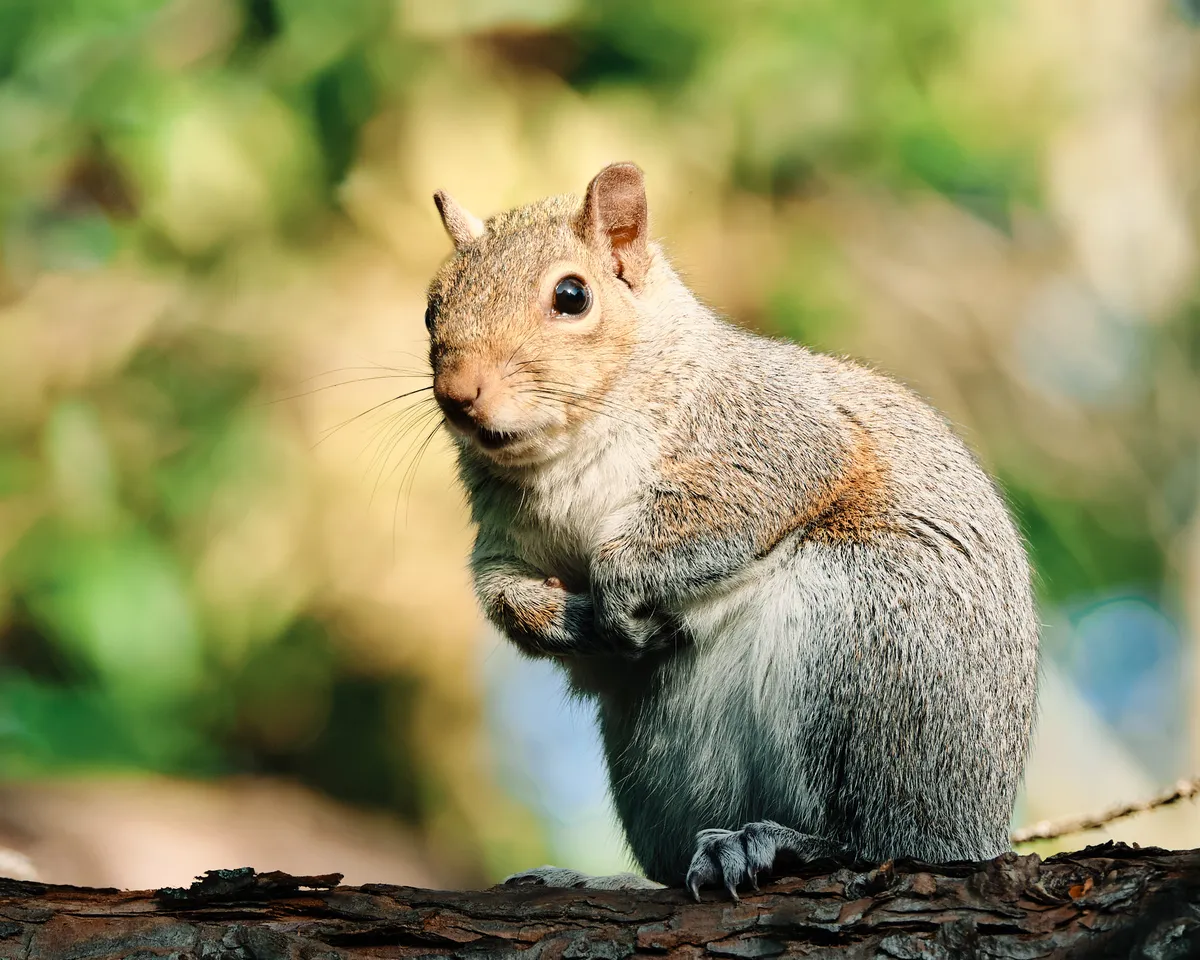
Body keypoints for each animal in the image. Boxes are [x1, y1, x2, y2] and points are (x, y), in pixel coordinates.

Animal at [423, 162, 1040, 900]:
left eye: (572, 296)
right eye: (431, 306)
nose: (459, 393)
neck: (564, 452)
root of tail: (978, 833)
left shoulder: (772, 436)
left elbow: (722, 515)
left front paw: (616, 592)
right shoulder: (502, 536)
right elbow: (499, 589)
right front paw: (558, 618)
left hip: (868, 654)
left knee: (881, 846)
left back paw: (783, 844)